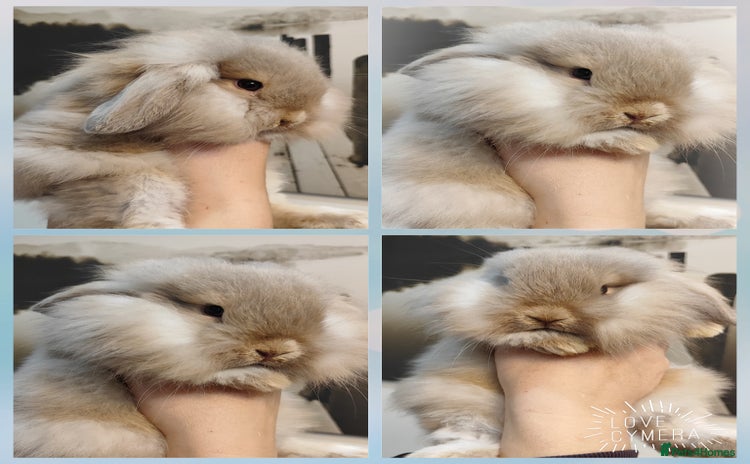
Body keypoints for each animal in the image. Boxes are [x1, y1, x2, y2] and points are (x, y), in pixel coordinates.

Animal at [389, 247, 736, 457]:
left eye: (605, 289)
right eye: (504, 282)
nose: (546, 315)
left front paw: (710, 328)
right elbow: (518, 337)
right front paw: (562, 343)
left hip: (660, 410)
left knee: (675, 432)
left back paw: (724, 441)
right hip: (465, 409)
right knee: (477, 442)